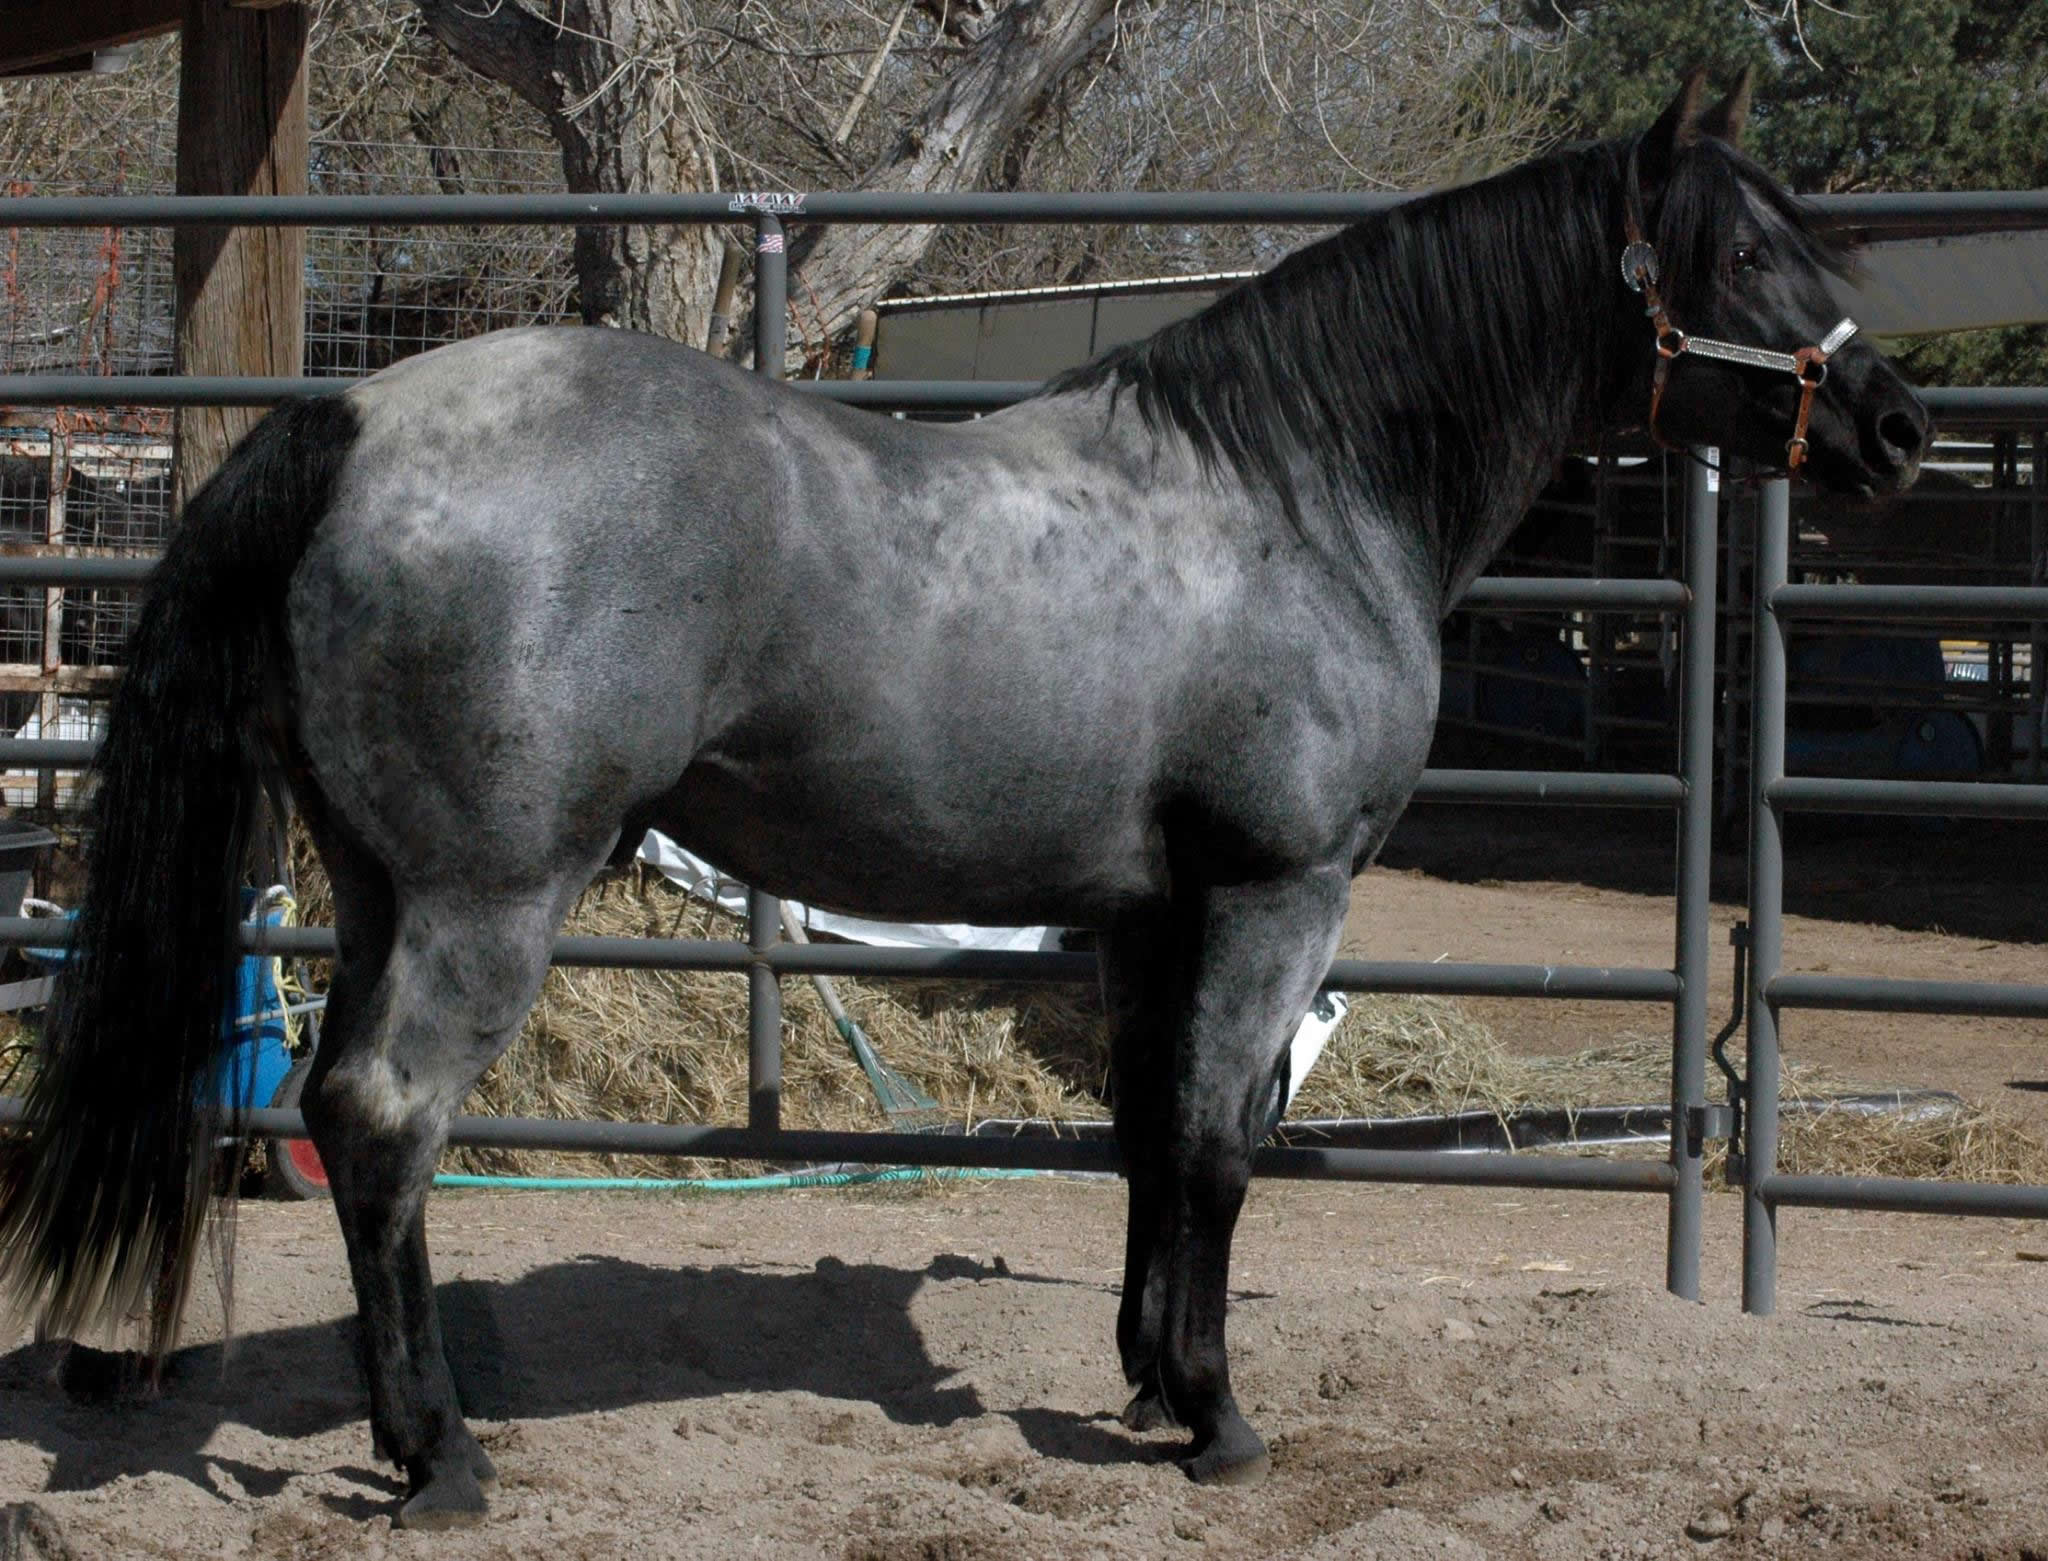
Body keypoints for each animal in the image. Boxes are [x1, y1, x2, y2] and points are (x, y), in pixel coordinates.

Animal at [0, 72, 1916, 1524]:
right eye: (1746, 248)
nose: (1894, 427)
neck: (1295, 494)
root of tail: (355, 418)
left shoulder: (1146, 913)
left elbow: (1149, 1129)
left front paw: (1147, 1379)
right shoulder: (1277, 893)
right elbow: (1223, 1137)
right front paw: (1218, 1416)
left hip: (381, 880)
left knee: (334, 1109)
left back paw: (407, 1434)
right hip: (487, 899)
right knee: (386, 1114)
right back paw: (444, 1460)